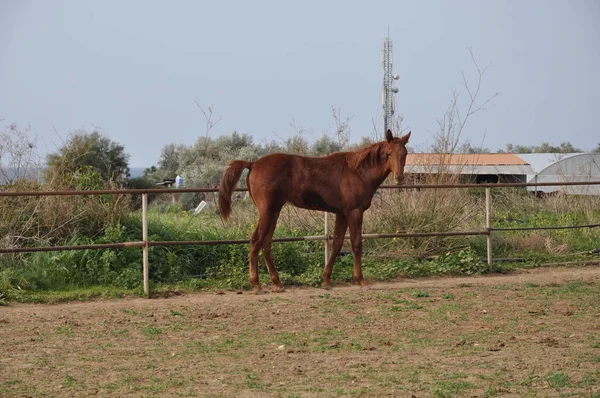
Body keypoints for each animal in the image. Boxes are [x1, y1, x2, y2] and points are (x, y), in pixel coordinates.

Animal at [218, 129, 410, 294]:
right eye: (389, 153)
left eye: (405, 153)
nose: (399, 177)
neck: (358, 172)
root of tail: (253, 163)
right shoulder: (354, 212)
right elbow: (356, 244)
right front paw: (361, 280)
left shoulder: (341, 214)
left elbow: (337, 244)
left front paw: (326, 281)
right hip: (267, 212)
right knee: (255, 240)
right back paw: (257, 285)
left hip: (274, 212)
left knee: (266, 243)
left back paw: (278, 283)